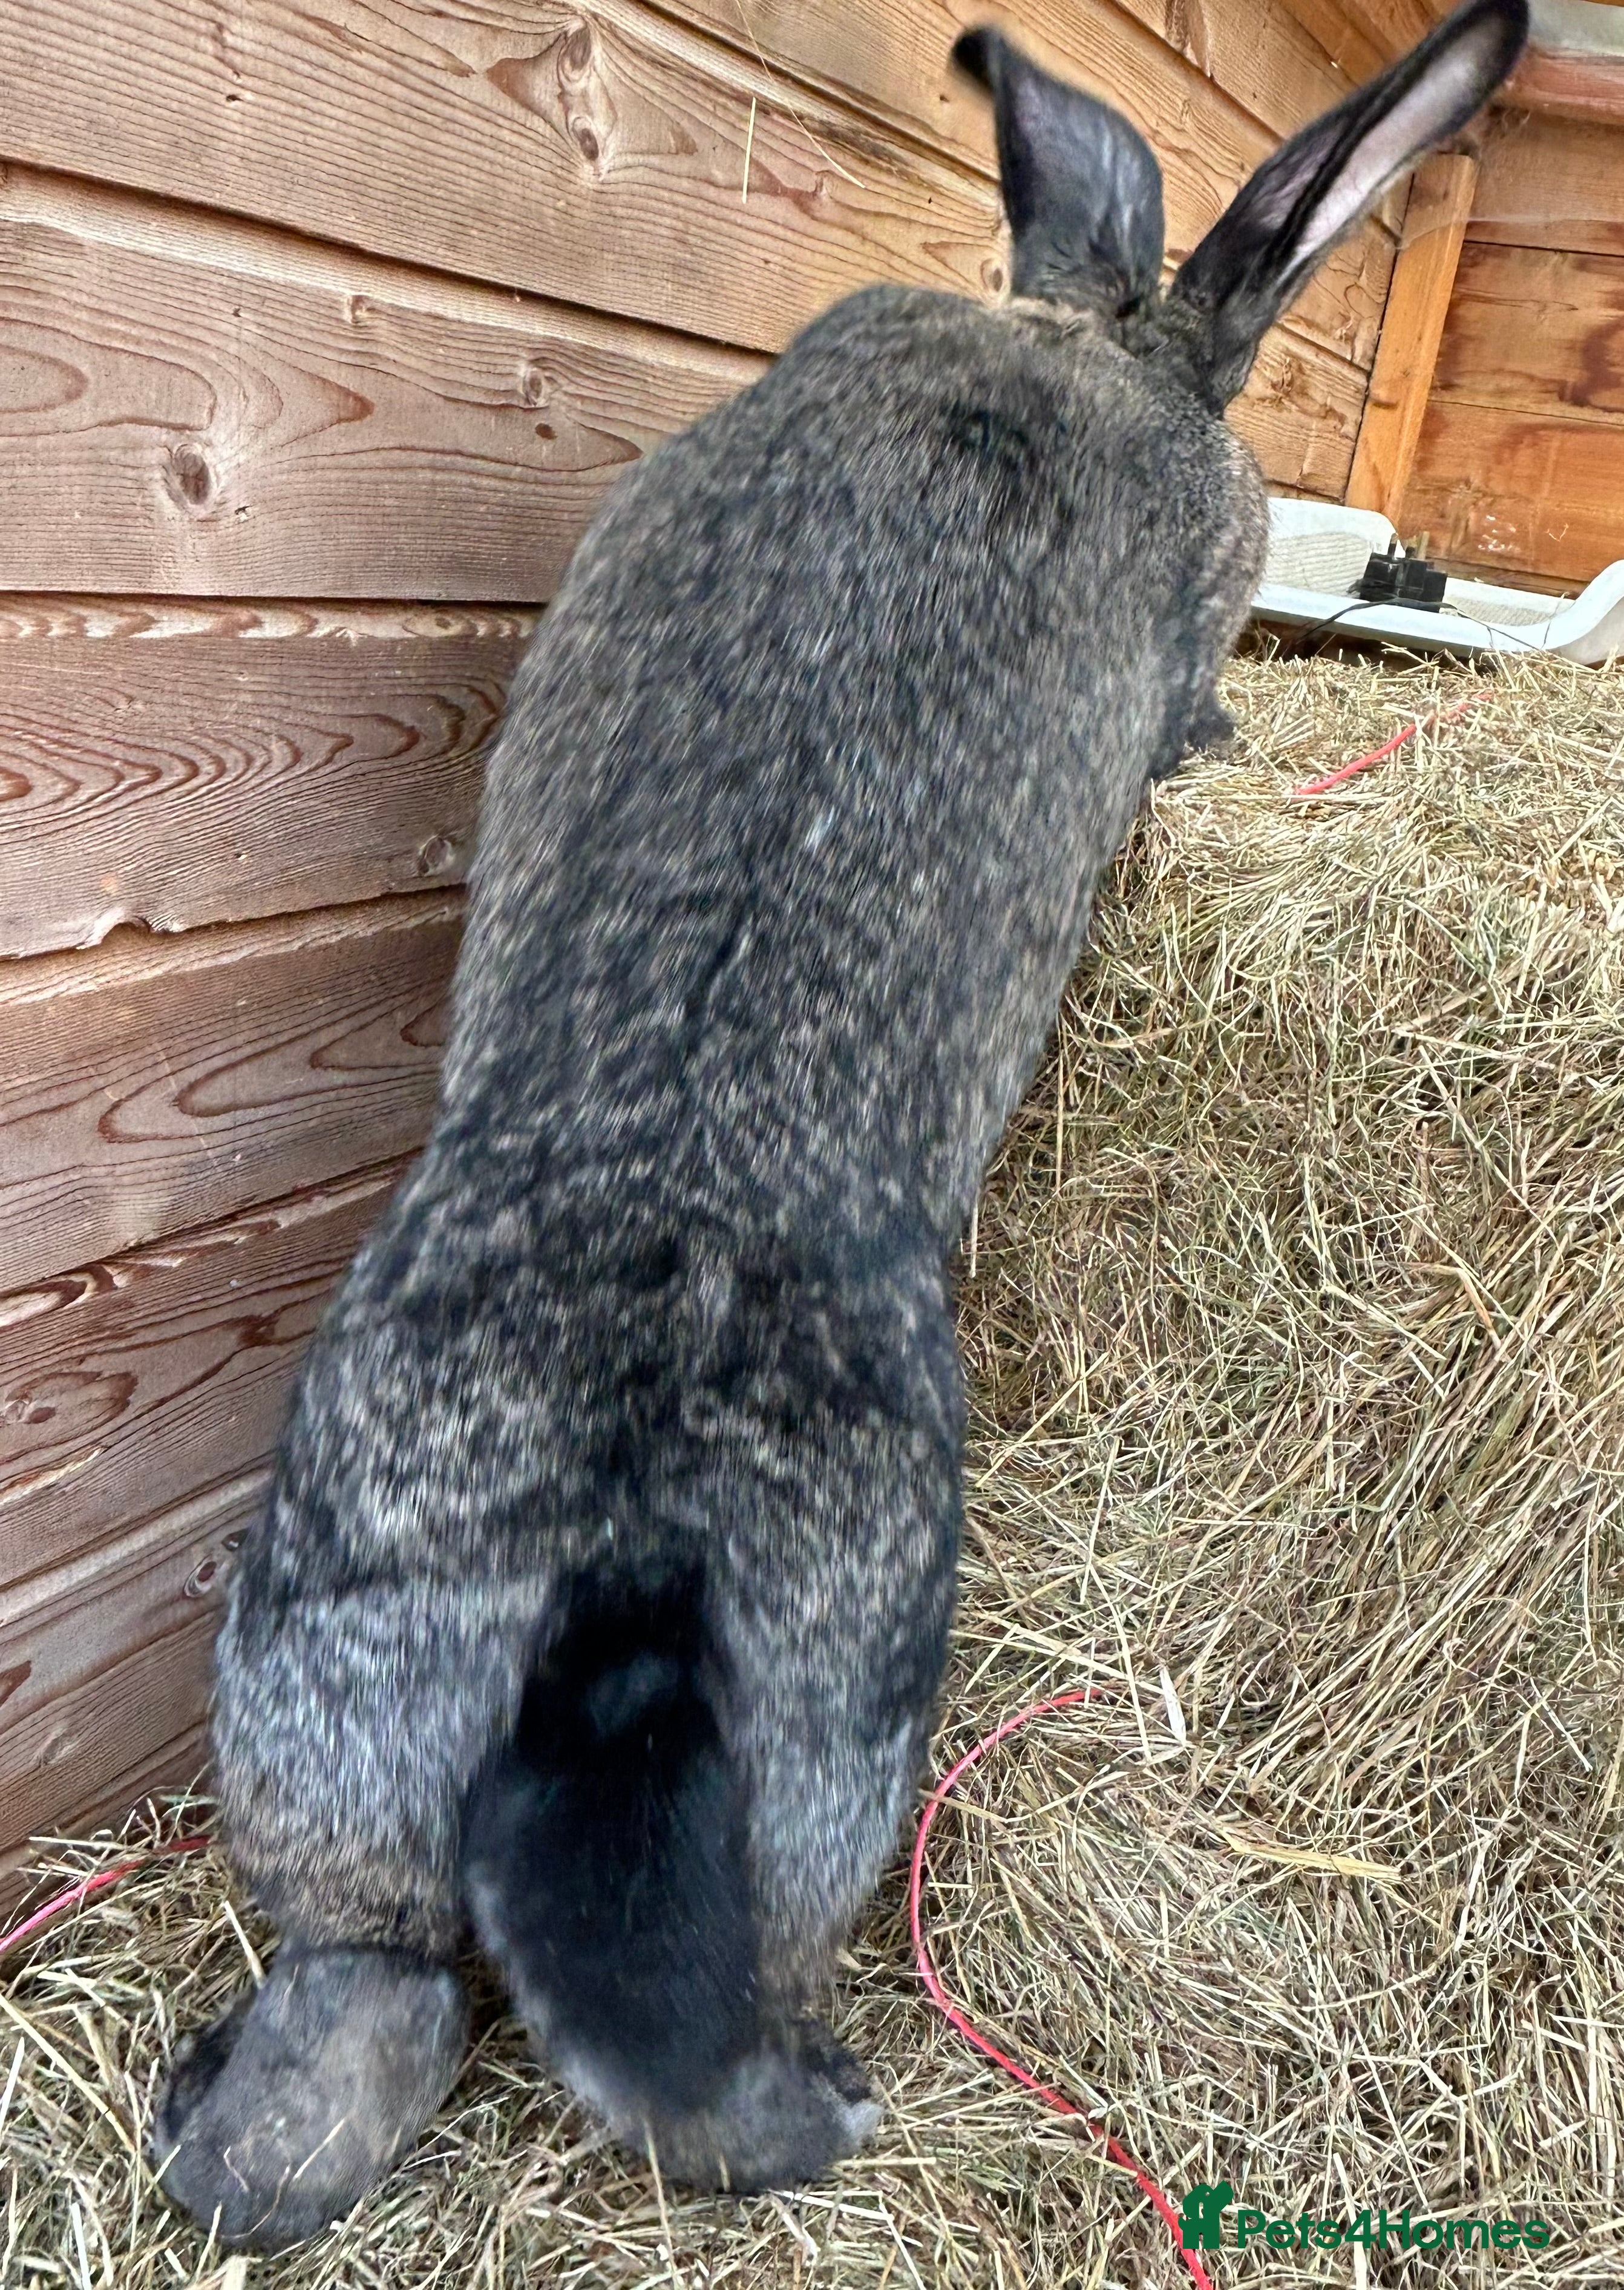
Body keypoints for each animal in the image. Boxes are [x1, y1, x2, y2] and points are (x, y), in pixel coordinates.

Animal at [152, 0, 1527, 2249]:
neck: (1093, 339)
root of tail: (620, 1562)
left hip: (334, 1690)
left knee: (354, 2020)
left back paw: (214, 2114)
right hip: (843, 1718)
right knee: (694, 2062)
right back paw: (833, 2104)